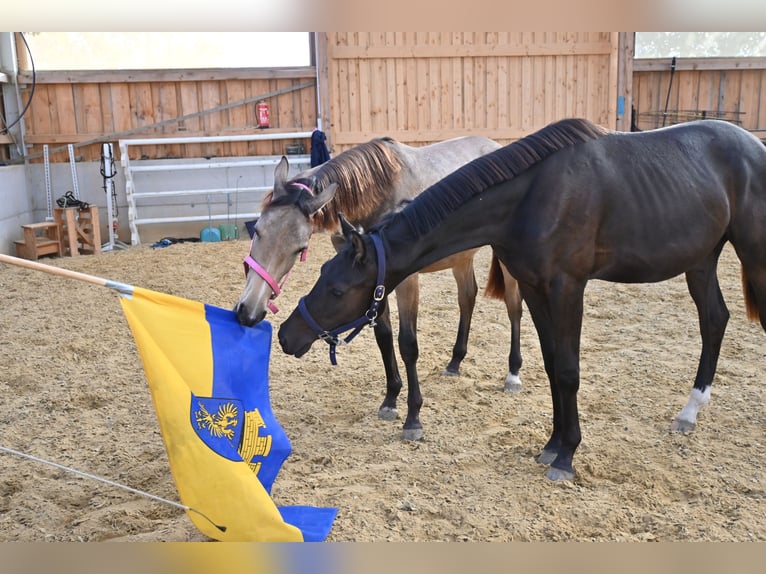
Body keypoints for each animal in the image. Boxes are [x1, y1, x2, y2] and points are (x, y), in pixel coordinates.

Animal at [232, 135, 520, 440]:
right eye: (258, 231)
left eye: (300, 248)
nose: (249, 311)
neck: (378, 192)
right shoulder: (369, 279)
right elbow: (383, 335)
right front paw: (391, 399)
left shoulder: (403, 278)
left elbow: (407, 343)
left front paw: (413, 418)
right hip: (461, 258)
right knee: (467, 298)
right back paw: (455, 362)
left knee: (514, 306)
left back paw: (513, 373)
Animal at [280, 117, 766, 482]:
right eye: (320, 273)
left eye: (337, 289)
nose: (287, 335)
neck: (533, 197)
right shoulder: (535, 288)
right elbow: (551, 367)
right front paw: (552, 445)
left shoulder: (567, 288)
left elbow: (568, 371)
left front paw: (567, 456)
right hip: (700, 261)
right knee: (714, 320)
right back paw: (690, 411)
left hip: (751, 256)